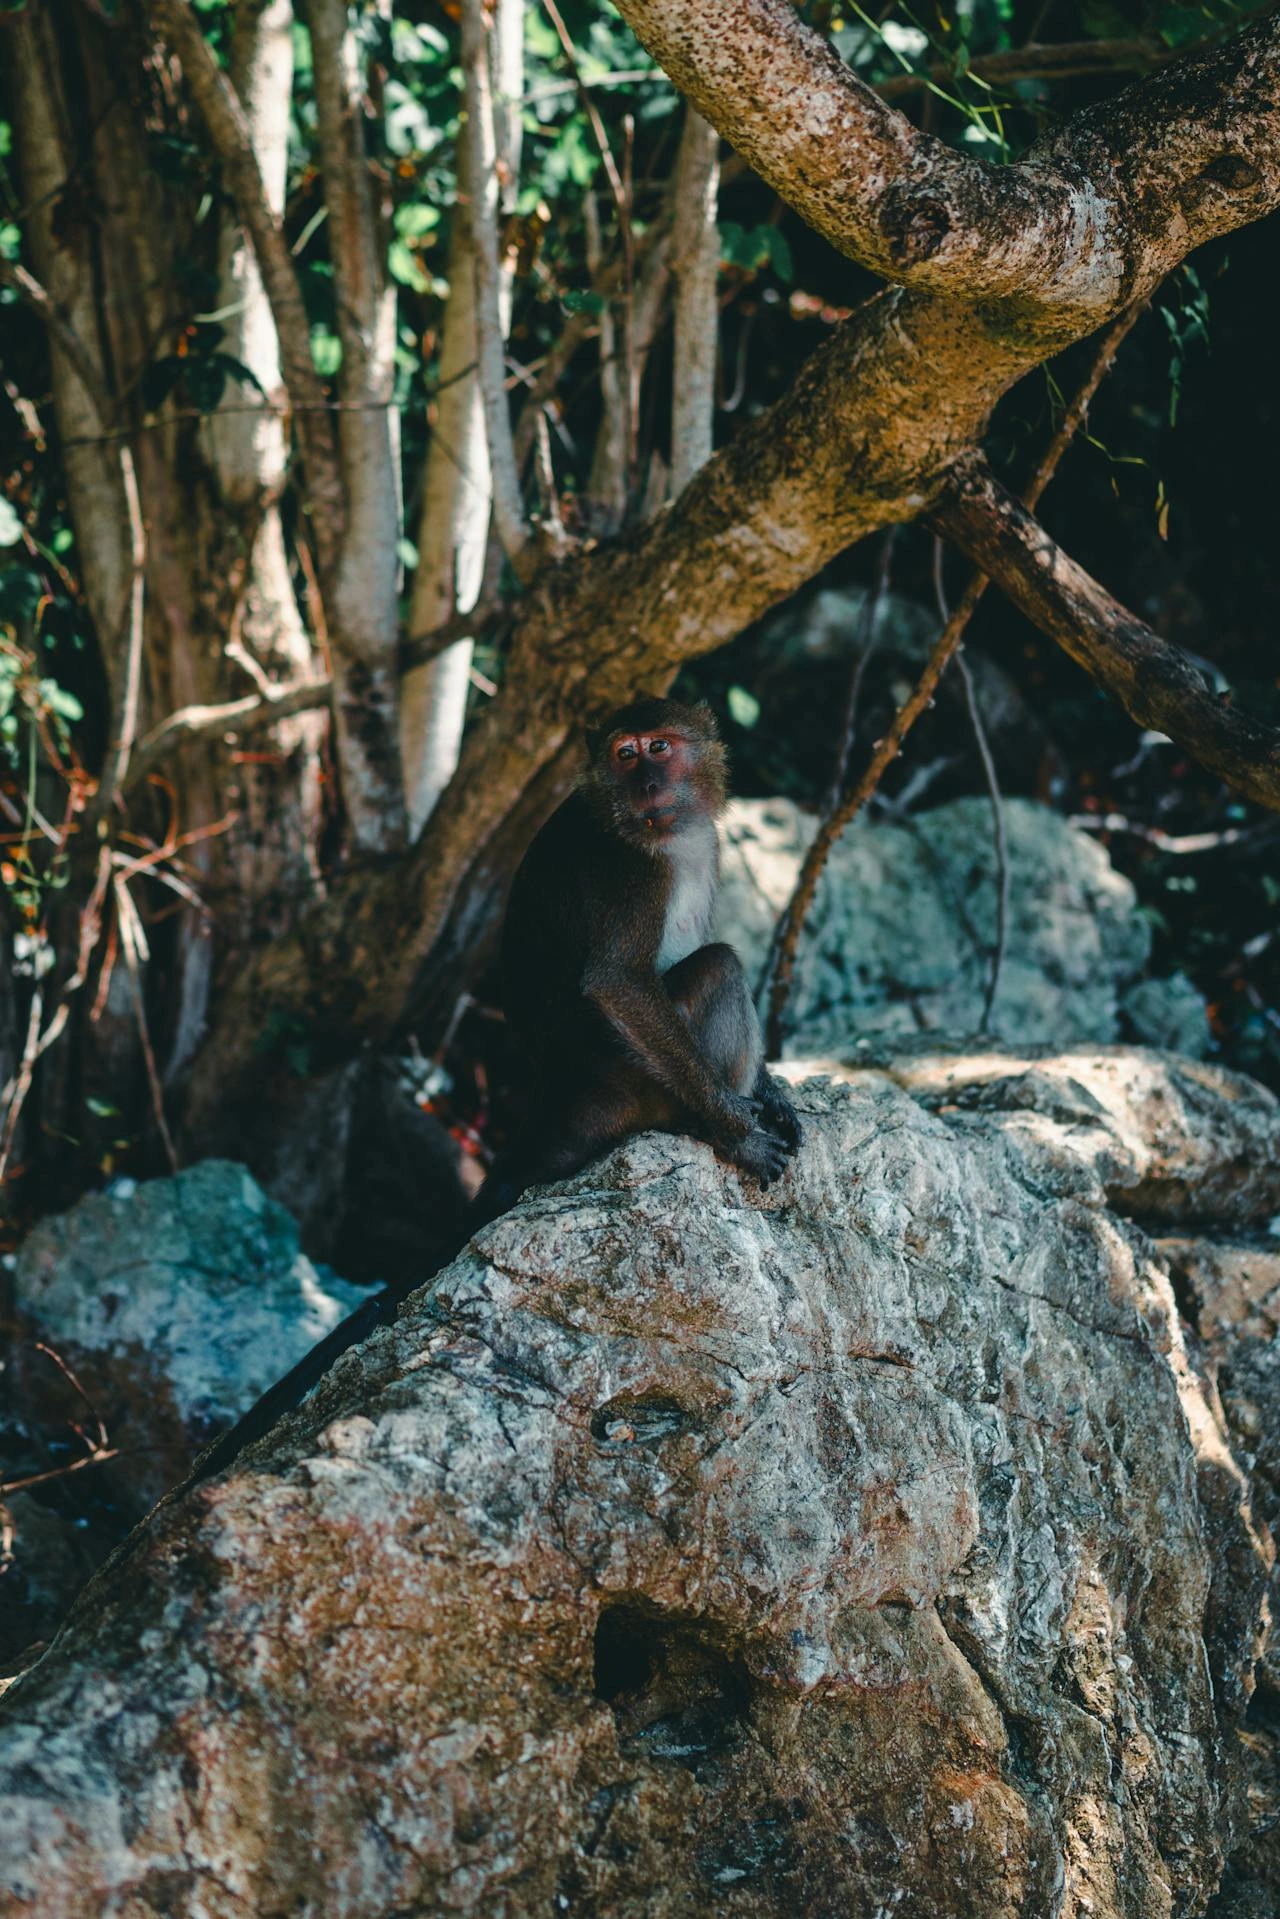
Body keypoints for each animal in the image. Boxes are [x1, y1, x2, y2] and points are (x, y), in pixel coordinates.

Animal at [472, 695, 801, 1226]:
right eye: (626, 753)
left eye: (659, 747)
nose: (647, 784)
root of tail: (562, 1098)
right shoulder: (628, 869)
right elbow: (619, 982)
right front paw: (736, 1127)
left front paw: (770, 1094)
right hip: (638, 1089)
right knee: (719, 966)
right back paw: (712, 1129)